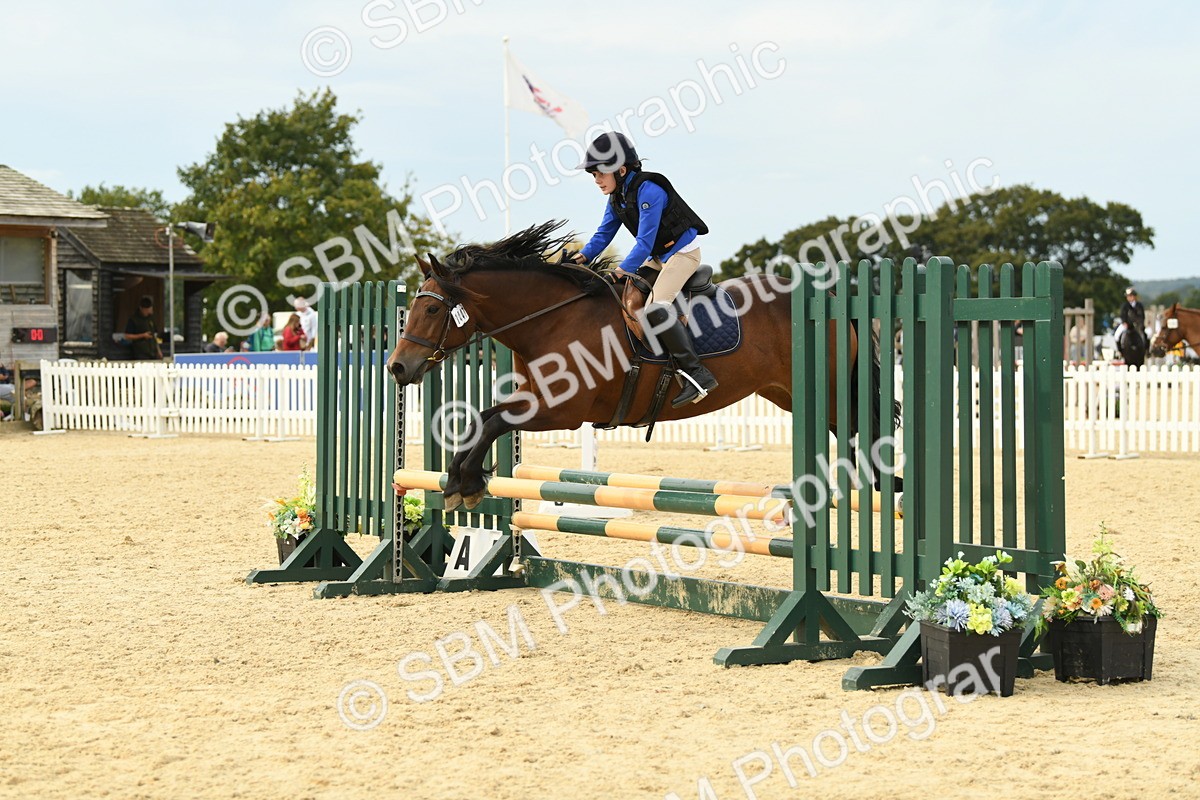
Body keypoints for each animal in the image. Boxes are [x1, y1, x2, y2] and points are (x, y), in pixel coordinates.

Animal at [386, 221, 898, 511]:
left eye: (430, 309)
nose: (396, 369)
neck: (552, 317)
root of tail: (829, 295)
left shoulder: (561, 412)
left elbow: (492, 422)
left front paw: (466, 483)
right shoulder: (534, 399)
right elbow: (483, 419)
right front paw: (460, 480)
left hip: (828, 393)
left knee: (864, 431)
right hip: (792, 395)